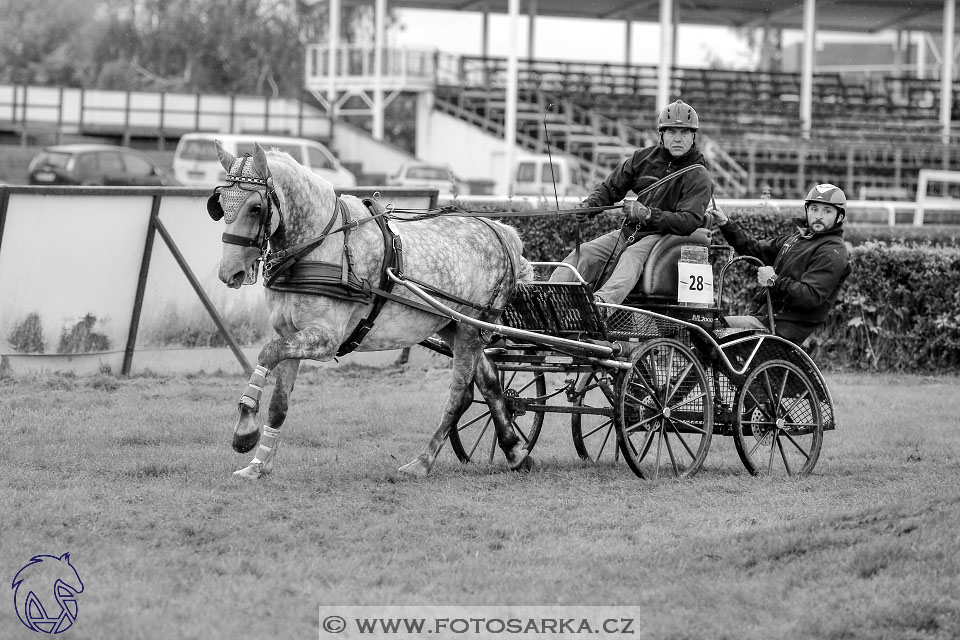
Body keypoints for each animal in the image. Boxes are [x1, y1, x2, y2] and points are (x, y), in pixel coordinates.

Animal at [208, 141, 532, 480]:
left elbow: (266, 354)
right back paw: (515, 452)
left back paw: (423, 462)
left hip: (472, 327)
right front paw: (258, 465)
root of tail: (499, 231)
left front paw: (245, 429)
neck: (320, 245)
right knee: (489, 384)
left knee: (459, 393)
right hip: (454, 324)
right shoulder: (289, 333)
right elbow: (279, 404)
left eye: (255, 208)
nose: (229, 272)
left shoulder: (325, 339)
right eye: (219, 204)